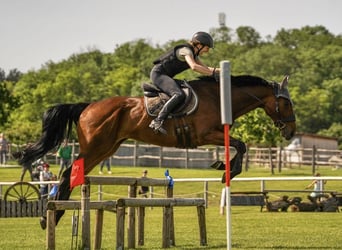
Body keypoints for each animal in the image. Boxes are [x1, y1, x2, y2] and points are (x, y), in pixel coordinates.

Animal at [14, 74, 296, 227]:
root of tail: (87, 106)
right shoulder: (206, 135)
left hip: (105, 149)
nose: (291, 132)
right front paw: (227, 171)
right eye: (286, 103)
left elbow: (239, 145)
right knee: (68, 173)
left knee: (73, 174)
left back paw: (53, 215)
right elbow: (241, 145)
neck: (218, 97)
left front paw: (224, 167)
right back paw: (51, 216)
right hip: (96, 147)